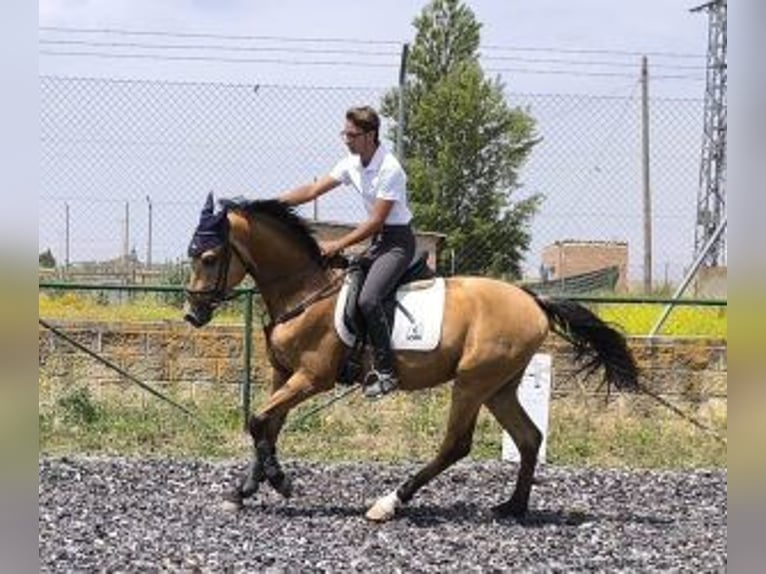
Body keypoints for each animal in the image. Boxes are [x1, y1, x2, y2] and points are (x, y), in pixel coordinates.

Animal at [183, 196, 640, 524]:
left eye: (208, 258)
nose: (192, 315)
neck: (303, 291)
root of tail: (532, 299)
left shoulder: (312, 377)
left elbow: (259, 420)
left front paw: (278, 482)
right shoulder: (285, 375)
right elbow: (266, 425)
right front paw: (245, 490)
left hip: (473, 382)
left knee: (456, 444)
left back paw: (388, 503)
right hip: (499, 386)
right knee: (528, 438)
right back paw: (512, 507)